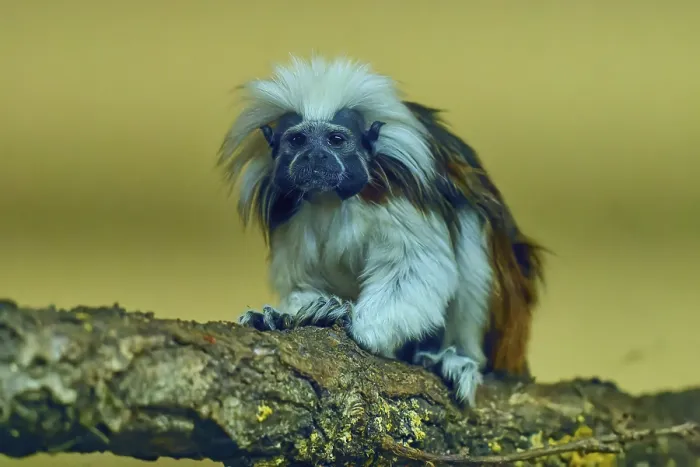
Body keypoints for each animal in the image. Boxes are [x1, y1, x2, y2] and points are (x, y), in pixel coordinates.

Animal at [217, 55, 546, 406]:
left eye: (336, 140)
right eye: (297, 140)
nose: (315, 156)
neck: (331, 198)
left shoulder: (399, 192)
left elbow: (417, 267)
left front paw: (349, 320)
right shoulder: (291, 212)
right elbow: (303, 280)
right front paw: (284, 316)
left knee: (471, 223)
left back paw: (454, 358)